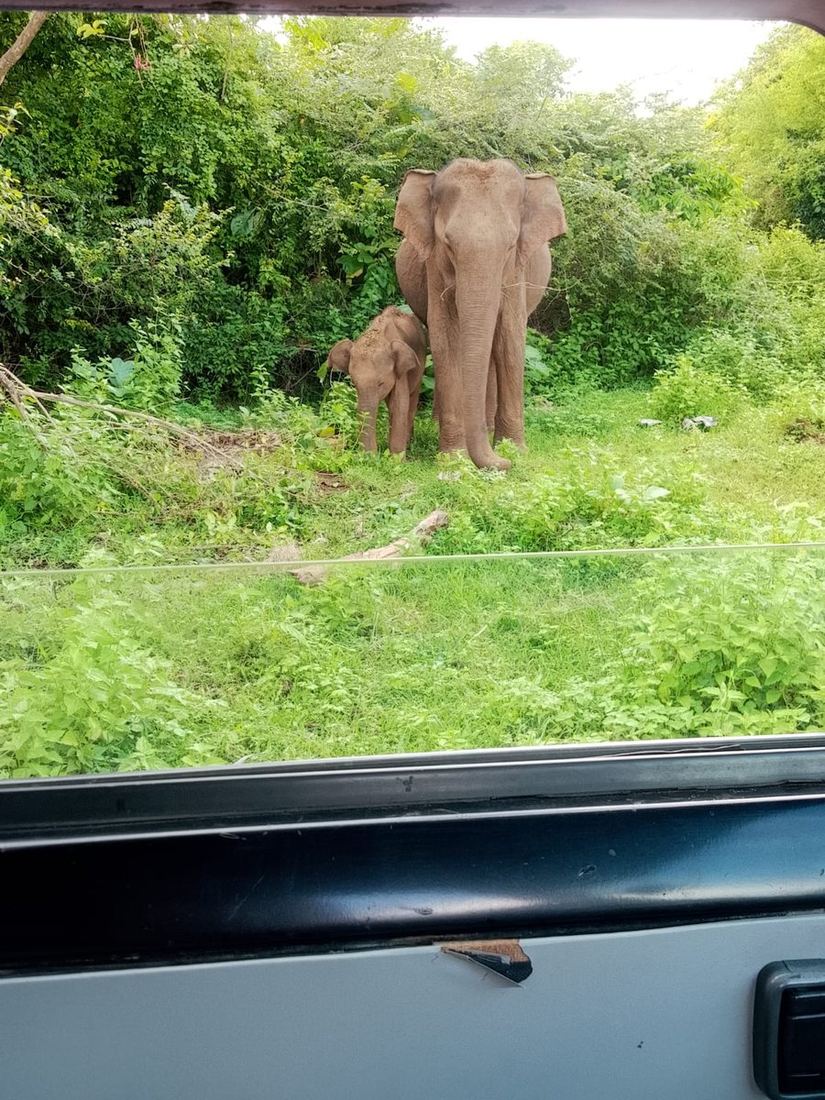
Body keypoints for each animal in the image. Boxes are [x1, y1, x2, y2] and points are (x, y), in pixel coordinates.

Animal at [326, 306, 426, 456]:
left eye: (381, 384)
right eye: (354, 384)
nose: (371, 455)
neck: (379, 335)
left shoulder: (400, 373)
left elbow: (399, 405)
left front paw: (396, 458)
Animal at [394, 158, 567, 470]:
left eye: (510, 246)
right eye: (448, 244)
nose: (503, 464)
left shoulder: (517, 271)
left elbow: (510, 339)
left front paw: (514, 451)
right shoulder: (434, 267)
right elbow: (445, 338)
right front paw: (453, 458)